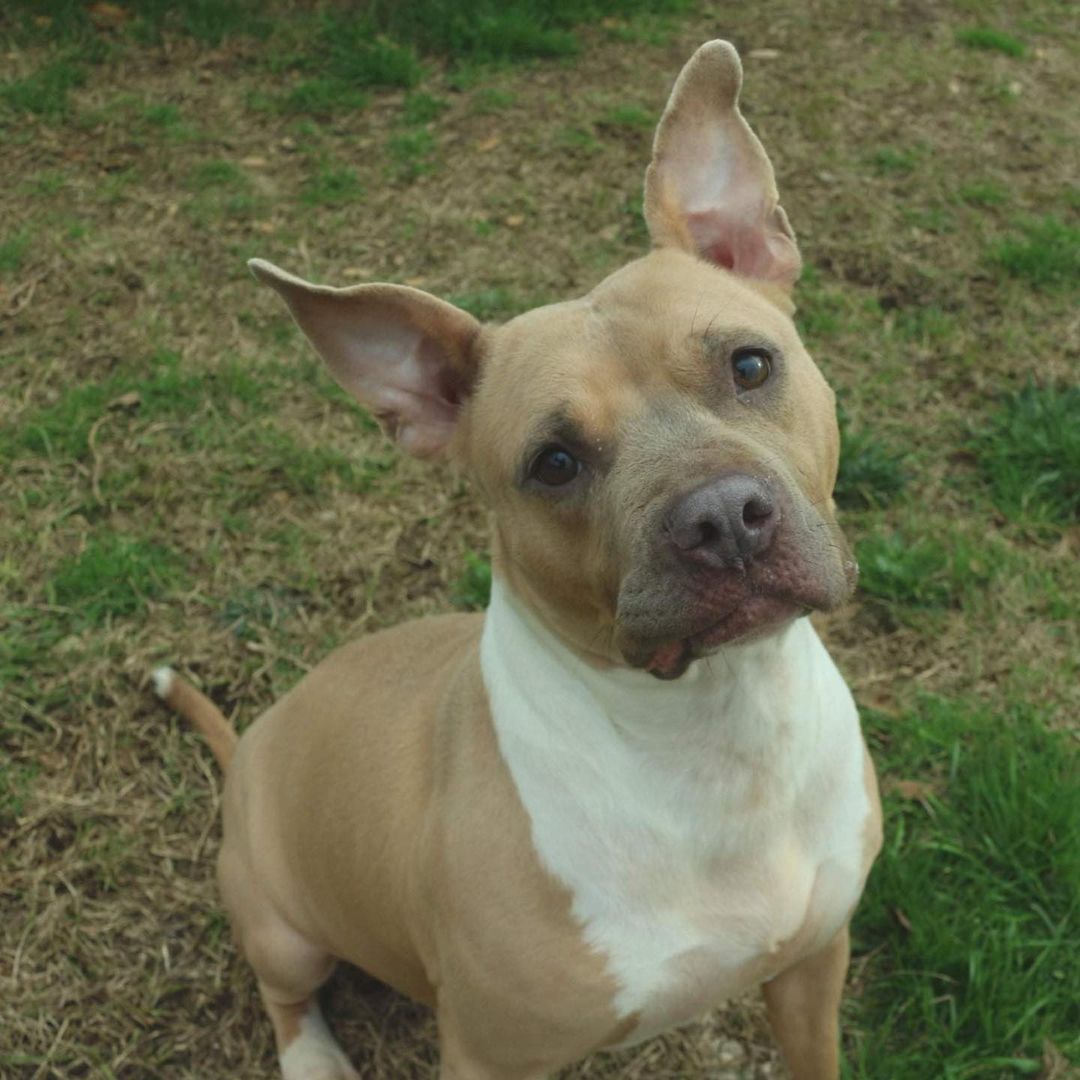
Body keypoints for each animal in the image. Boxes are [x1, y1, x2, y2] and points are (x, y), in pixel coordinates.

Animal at [157, 42, 885, 1080]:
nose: (723, 522)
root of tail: (251, 743)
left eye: (750, 365)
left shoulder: (815, 963)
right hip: (280, 923)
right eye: (554, 463)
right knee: (285, 992)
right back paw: (315, 1056)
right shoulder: (487, 1051)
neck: (715, 727)